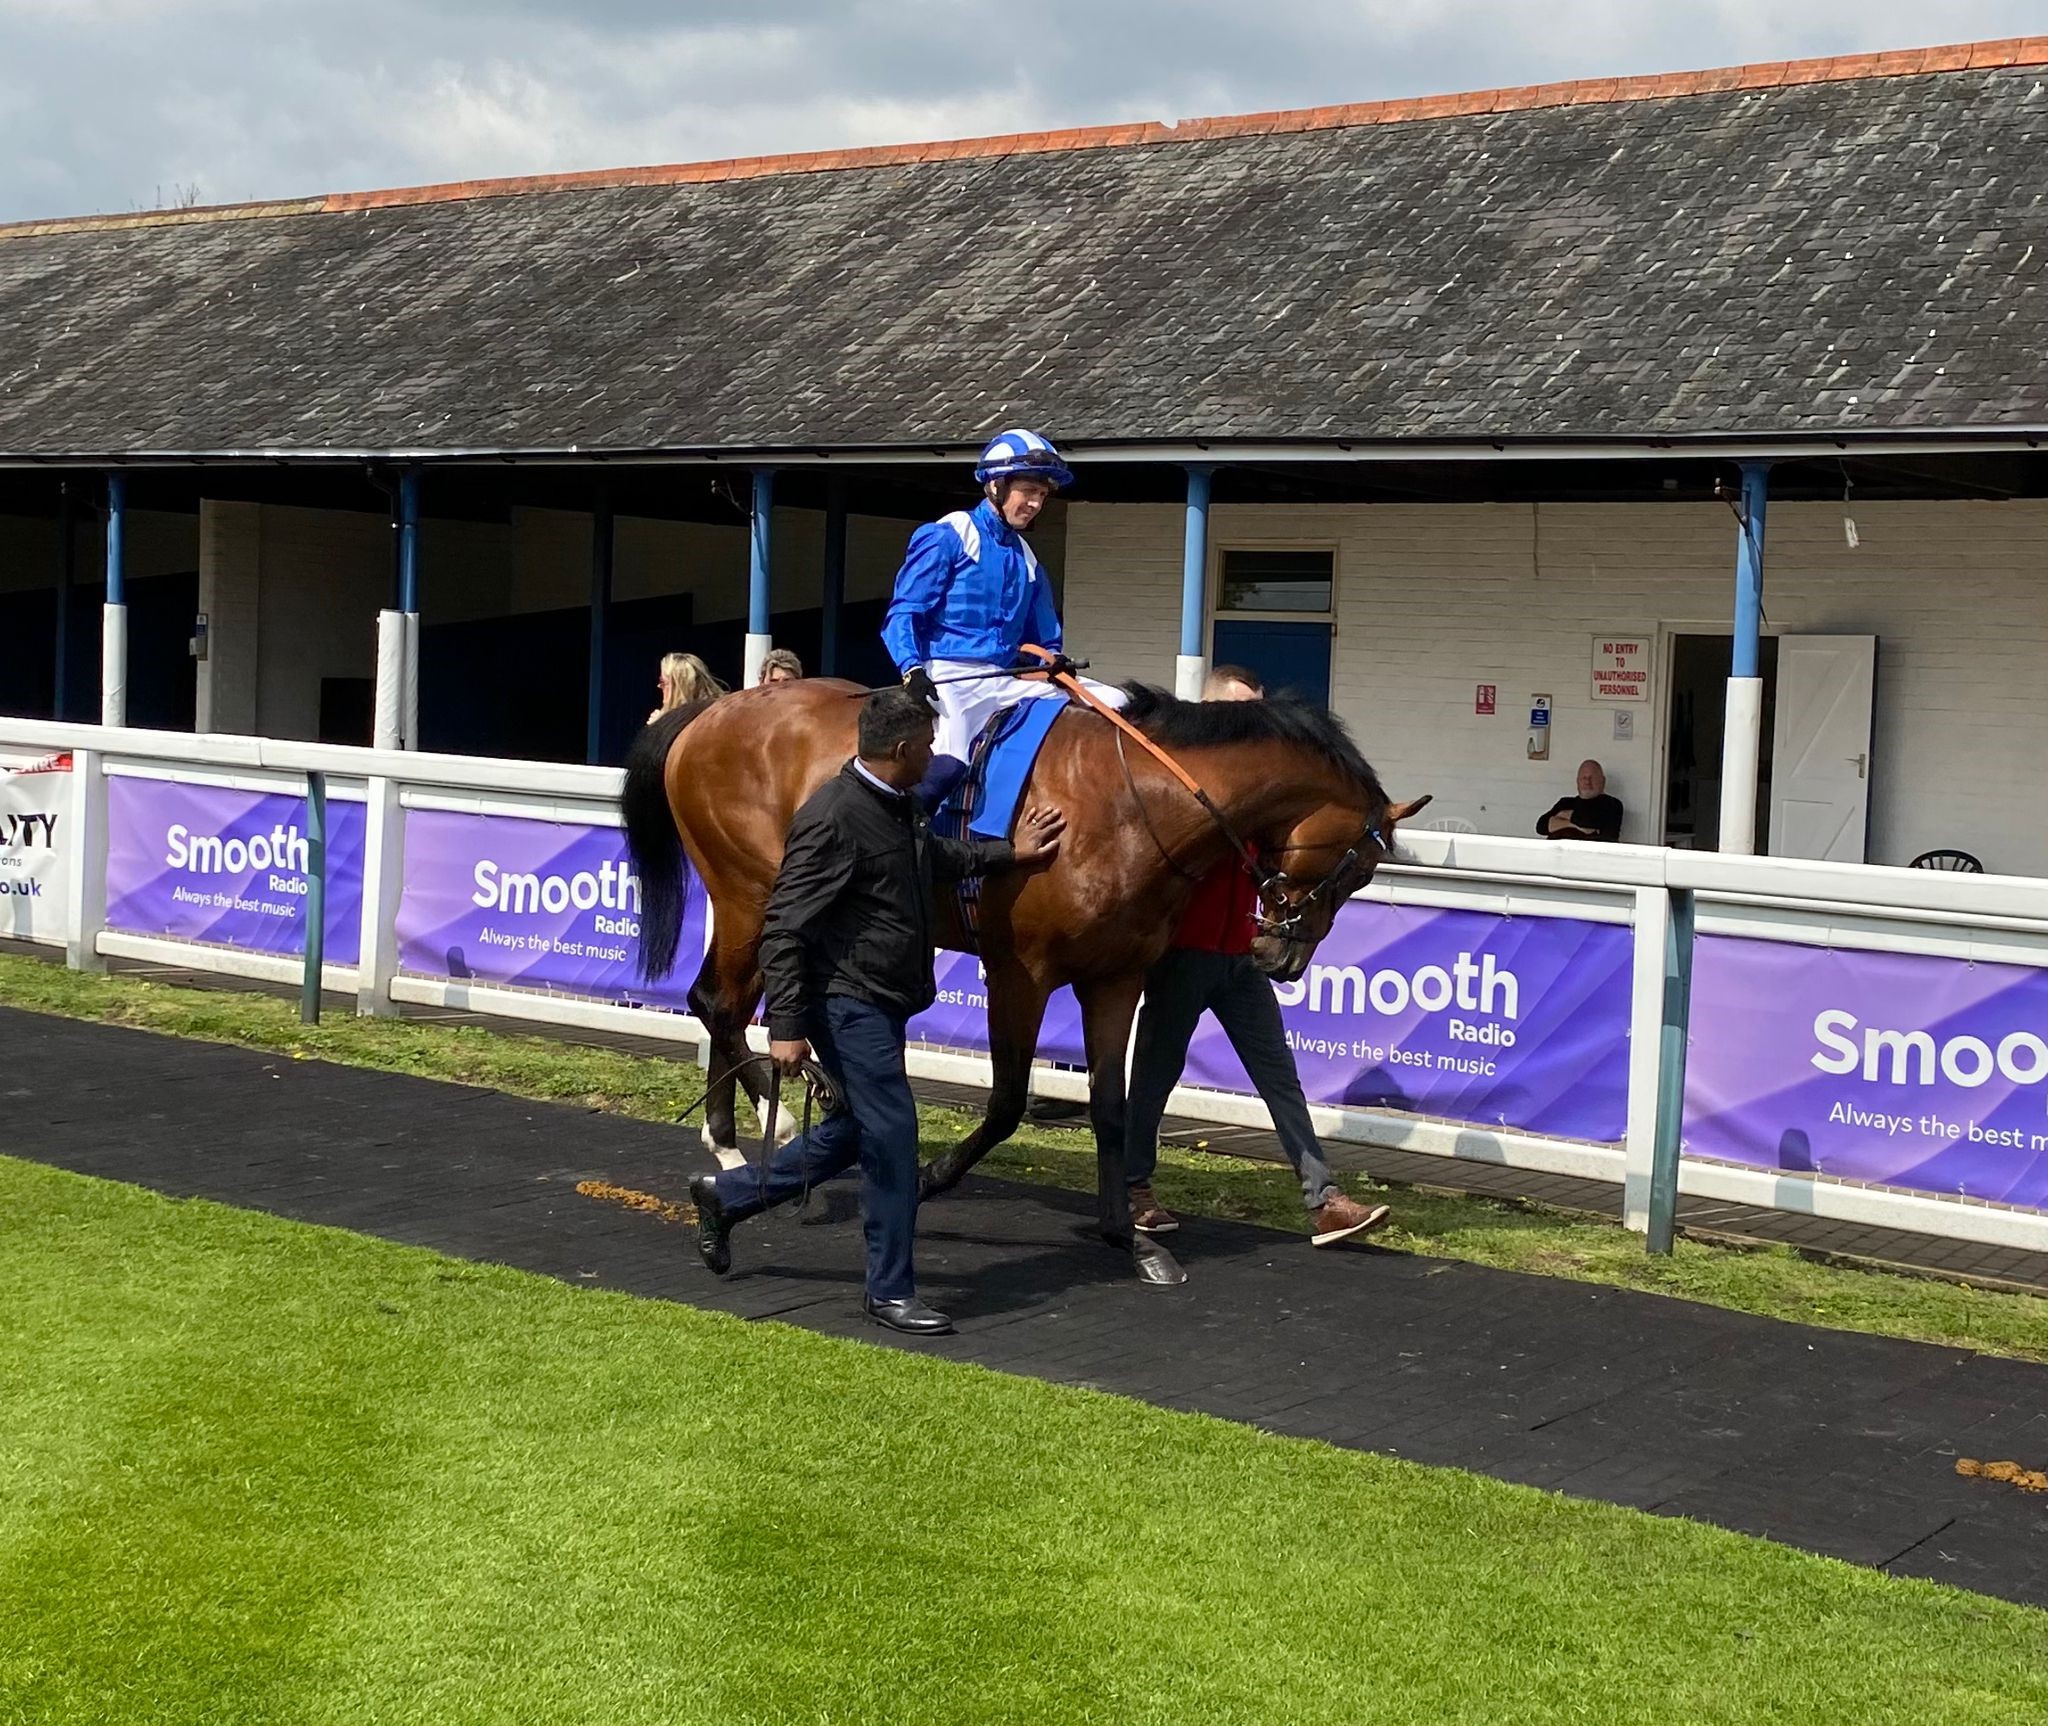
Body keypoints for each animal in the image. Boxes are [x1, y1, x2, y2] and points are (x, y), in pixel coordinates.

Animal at [614, 675, 1433, 1285]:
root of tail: (712, 710)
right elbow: (1008, 1101)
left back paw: (743, 1135)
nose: (1282, 959)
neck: (1131, 804)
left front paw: (1129, 1237)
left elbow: (1112, 1106)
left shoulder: (1116, 978)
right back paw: (775, 1126)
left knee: (732, 1003)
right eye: (1358, 869)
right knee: (721, 1003)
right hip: (751, 894)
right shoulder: (1021, 973)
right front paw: (932, 1174)